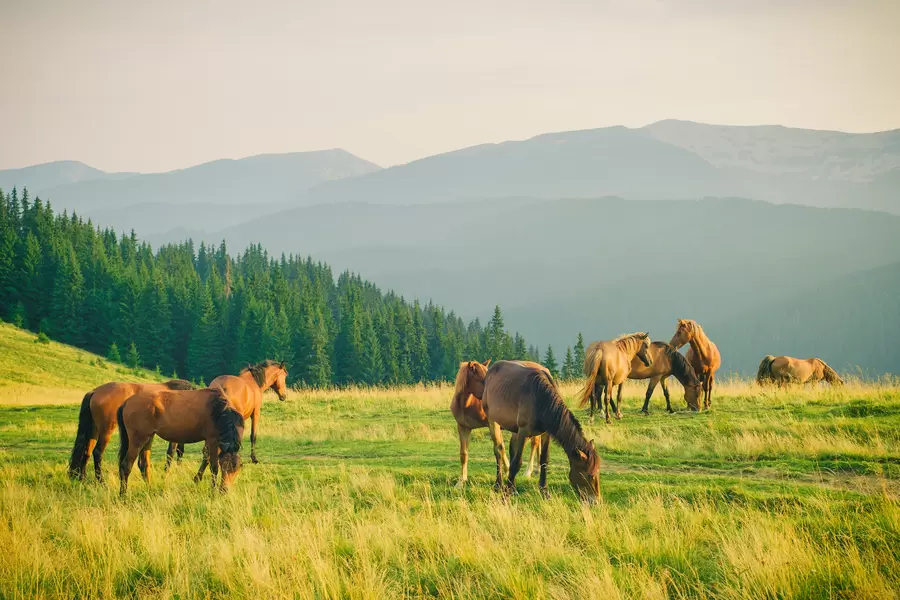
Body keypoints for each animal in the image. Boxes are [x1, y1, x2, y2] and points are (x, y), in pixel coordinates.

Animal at [479, 360, 600, 503]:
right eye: (590, 475)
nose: (595, 501)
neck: (539, 399)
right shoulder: (523, 431)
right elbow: (516, 462)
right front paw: (506, 495)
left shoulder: (545, 433)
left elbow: (544, 459)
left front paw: (544, 491)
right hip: (493, 420)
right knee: (499, 450)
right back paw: (499, 485)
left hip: (515, 429)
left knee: (511, 450)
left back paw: (513, 487)